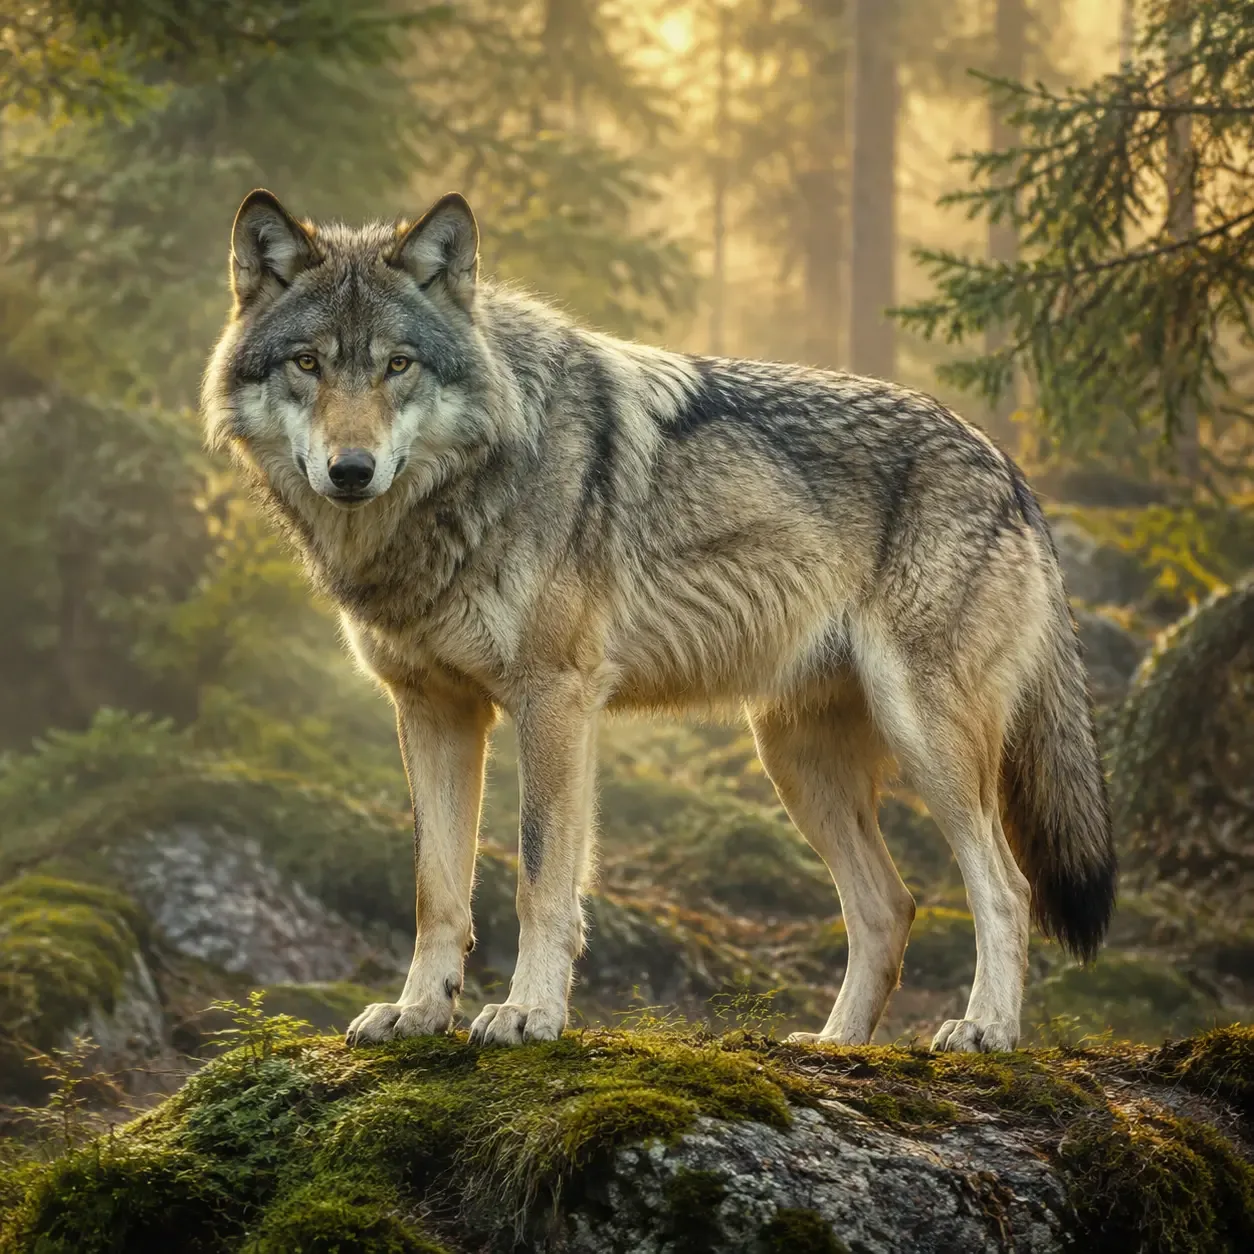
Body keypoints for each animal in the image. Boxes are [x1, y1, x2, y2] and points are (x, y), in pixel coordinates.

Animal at [202, 188, 1115, 1053]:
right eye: (309, 363)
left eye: (398, 365)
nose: (351, 470)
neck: (467, 490)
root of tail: (1007, 466)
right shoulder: (435, 709)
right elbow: (437, 891)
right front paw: (418, 1012)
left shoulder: (555, 700)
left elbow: (541, 878)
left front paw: (528, 1012)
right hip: (792, 759)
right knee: (890, 906)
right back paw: (834, 1043)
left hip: (923, 736)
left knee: (1006, 888)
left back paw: (984, 1030)